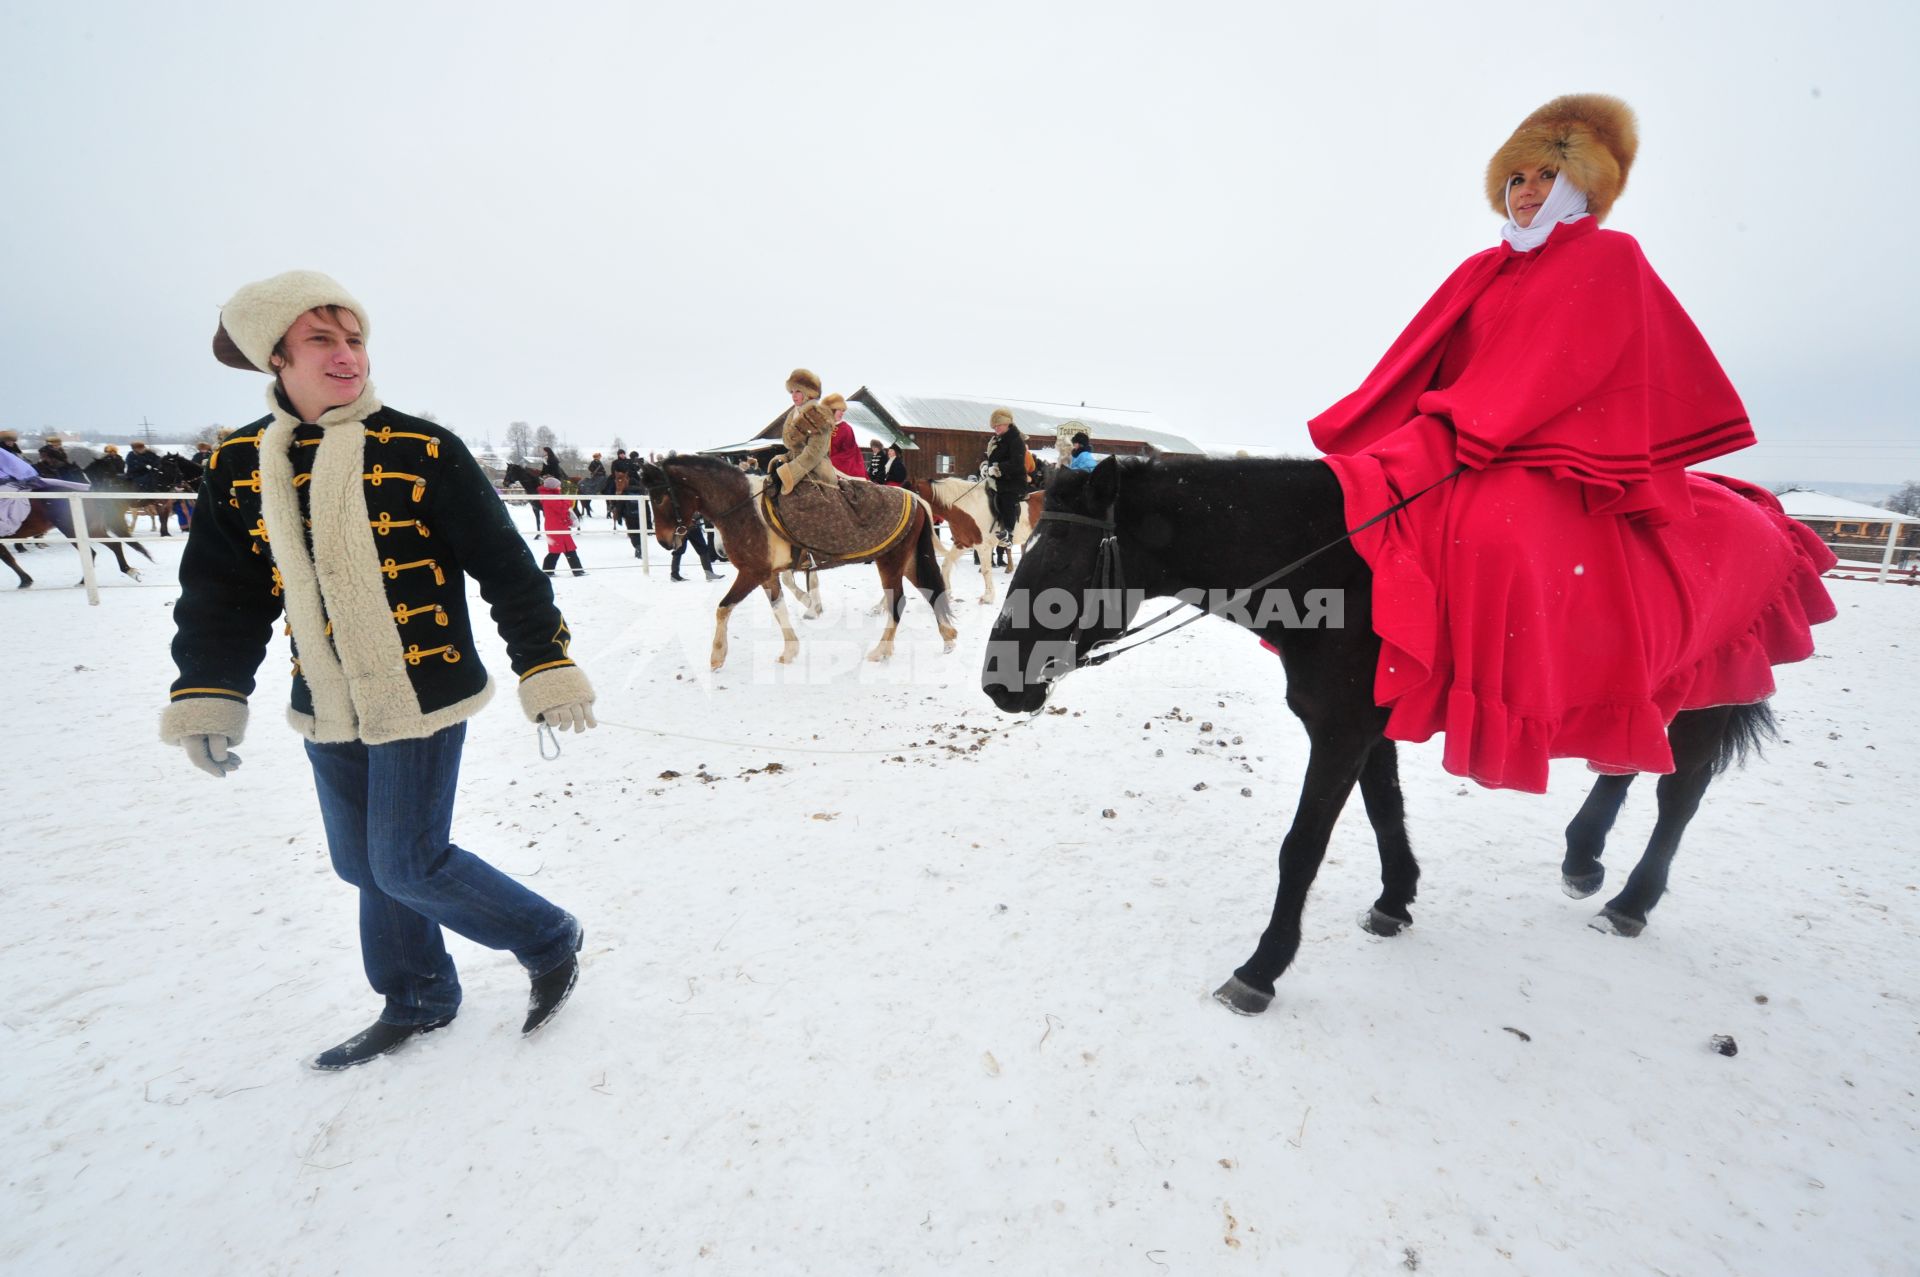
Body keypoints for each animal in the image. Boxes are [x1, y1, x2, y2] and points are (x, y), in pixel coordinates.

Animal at [641, 453, 956, 668]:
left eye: (658, 498)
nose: (665, 541)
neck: (744, 508)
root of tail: (915, 499)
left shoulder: (751, 573)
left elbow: (723, 608)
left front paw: (717, 656)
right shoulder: (768, 574)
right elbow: (779, 607)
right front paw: (791, 649)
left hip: (891, 561)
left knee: (898, 602)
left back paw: (882, 651)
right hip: (908, 559)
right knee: (931, 592)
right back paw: (948, 638)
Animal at [983, 458, 1774, 1013]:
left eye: (1057, 560)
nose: (997, 682)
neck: (1337, 565)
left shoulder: (1341, 732)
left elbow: (1301, 848)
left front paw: (1261, 969)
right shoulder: (1362, 728)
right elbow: (1385, 808)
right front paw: (1395, 901)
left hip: (1708, 688)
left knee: (1679, 794)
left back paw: (1631, 902)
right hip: (1659, 686)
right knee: (1627, 762)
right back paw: (1583, 860)